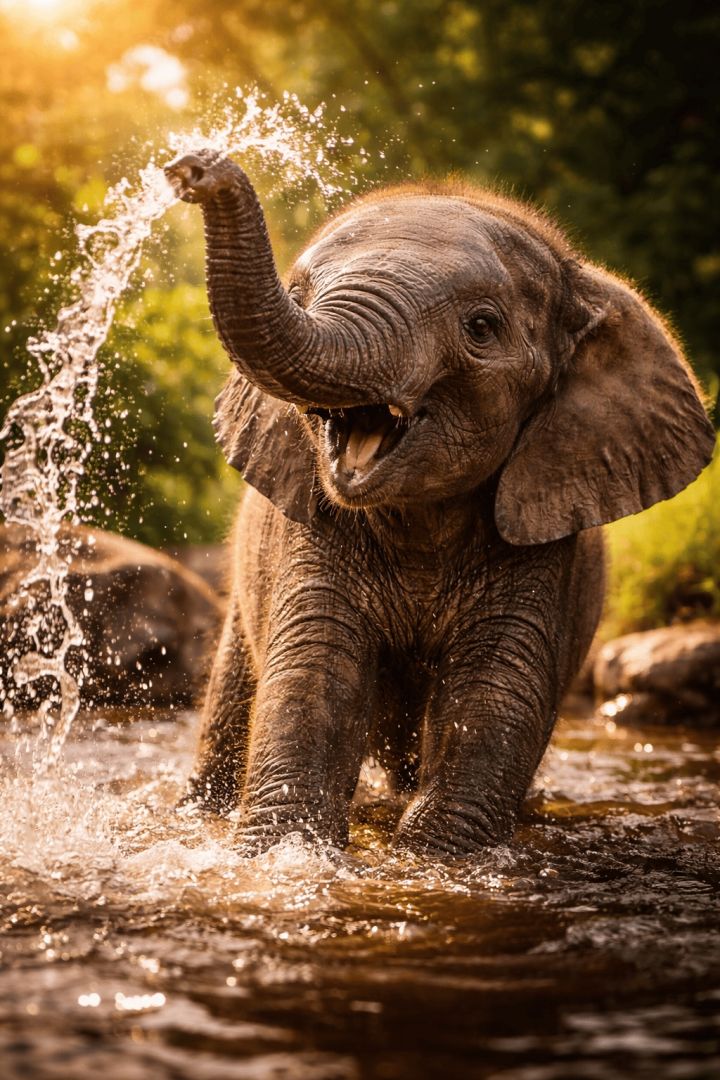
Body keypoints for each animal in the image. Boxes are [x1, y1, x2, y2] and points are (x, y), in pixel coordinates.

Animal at [165, 149, 715, 857]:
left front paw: (432, 857)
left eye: (481, 328)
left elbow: (496, 689)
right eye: (301, 294)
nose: (196, 168)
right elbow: (313, 671)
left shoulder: (544, 533)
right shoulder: (311, 530)